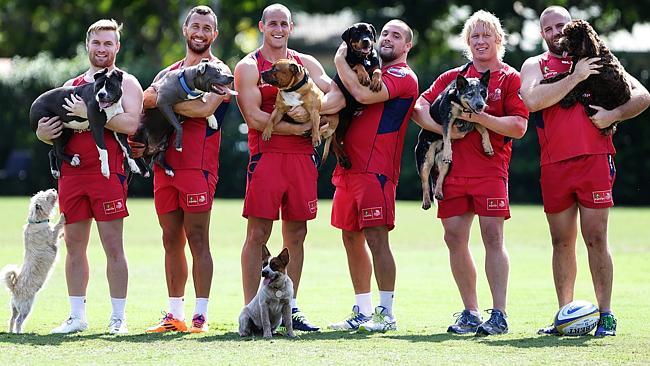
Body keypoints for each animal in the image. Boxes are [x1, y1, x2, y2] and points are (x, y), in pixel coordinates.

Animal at [2, 190, 65, 334]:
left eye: (44, 193)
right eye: (46, 197)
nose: (53, 190)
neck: (36, 221)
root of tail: (14, 288)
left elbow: (58, 232)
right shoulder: (51, 238)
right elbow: (57, 227)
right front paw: (62, 218)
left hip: (14, 307)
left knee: (12, 319)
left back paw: (11, 331)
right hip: (26, 307)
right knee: (19, 320)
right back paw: (19, 332)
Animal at [322, 23, 380, 169]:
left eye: (369, 32)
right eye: (356, 33)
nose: (366, 40)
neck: (364, 58)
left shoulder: (375, 64)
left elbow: (377, 70)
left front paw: (376, 81)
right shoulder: (350, 65)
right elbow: (358, 65)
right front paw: (364, 76)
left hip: (345, 123)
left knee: (335, 141)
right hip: (335, 118)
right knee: (333, 141)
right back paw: (343, 158)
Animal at [416, 71, 492, 209]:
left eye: (483, 92)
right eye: (470, 93)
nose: (480, 105)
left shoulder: (474, 120)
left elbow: (484, 129)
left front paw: (488, 147)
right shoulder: (447, 119)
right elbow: (446, 136)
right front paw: (448, 151)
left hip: (447, 165)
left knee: (440, 177)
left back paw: (439, 193)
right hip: (425, 160)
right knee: (424, 182)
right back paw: (426, 202)